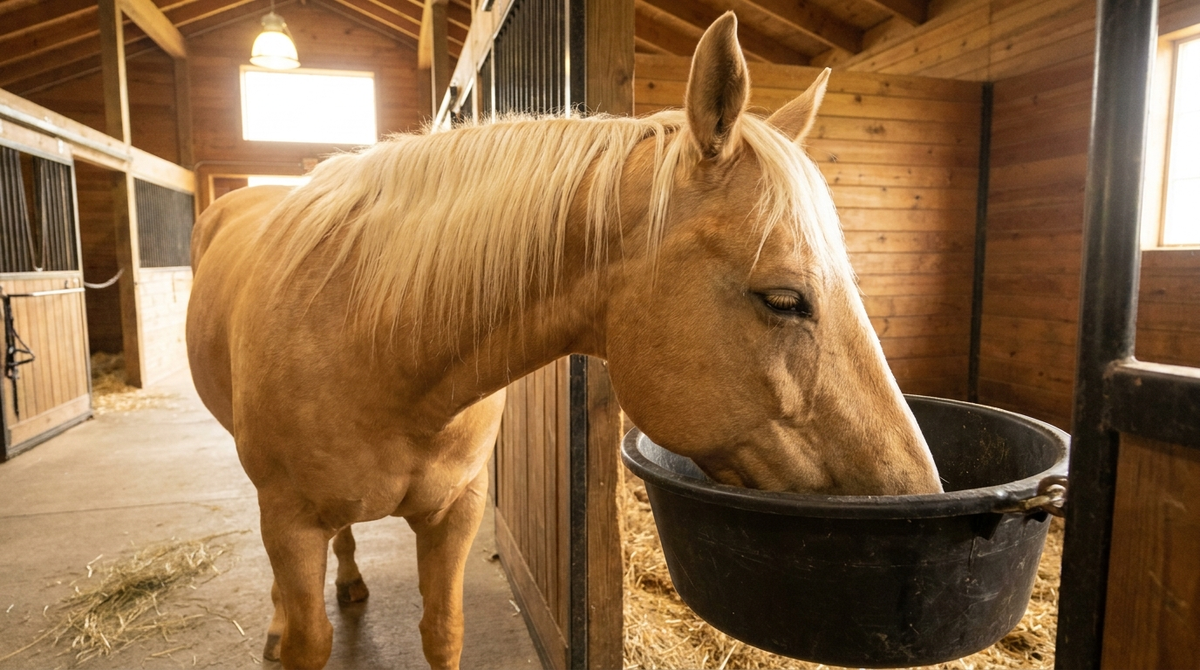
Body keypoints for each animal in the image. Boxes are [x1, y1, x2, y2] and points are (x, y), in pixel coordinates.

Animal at [186, 13, 942, 670]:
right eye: (783, 299)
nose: (918, 495)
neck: (379, 344)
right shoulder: (290, 521)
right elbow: (310, 640)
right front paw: (289, 628)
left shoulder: (456, 512)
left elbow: (443, 632)